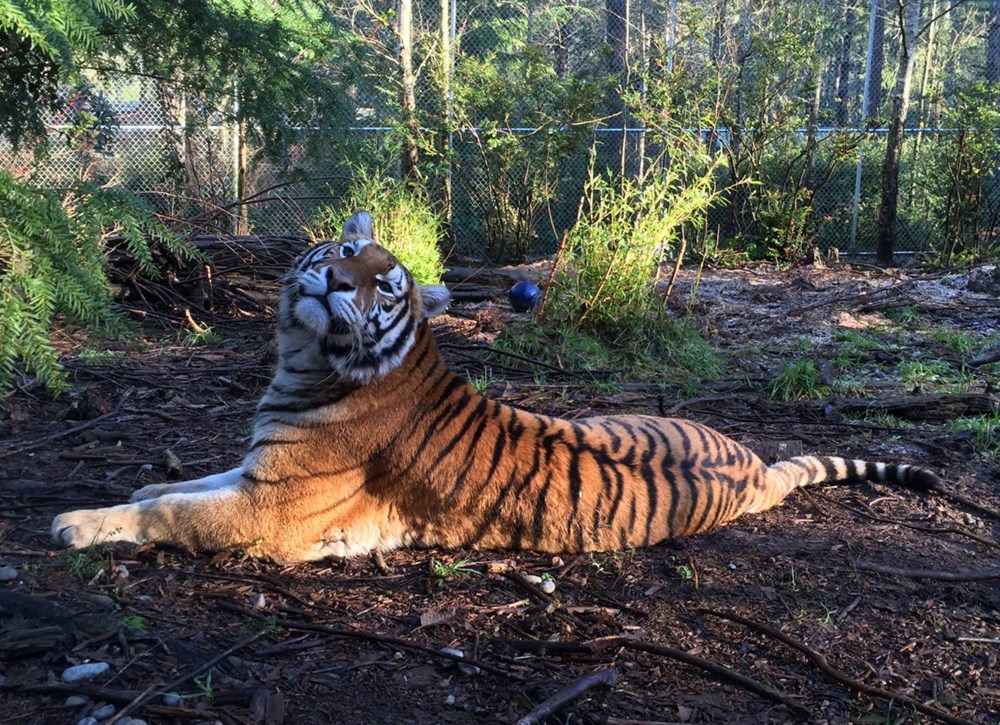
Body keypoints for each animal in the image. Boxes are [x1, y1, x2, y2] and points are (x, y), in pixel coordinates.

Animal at [52, 209, 944, 560]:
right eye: (346, 251)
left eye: (384, 285)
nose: (337, 279)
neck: (302, 357)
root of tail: (753, 463)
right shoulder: (257, 470)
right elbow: (181, 484)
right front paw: (130, 491)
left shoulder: (271, 508)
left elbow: (176, 512)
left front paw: (76, 523)